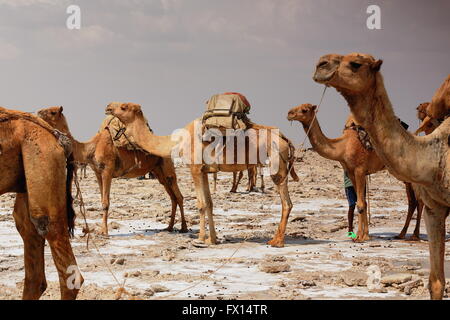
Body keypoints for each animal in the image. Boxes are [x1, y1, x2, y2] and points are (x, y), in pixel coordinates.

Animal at [37, 107, 186, 235]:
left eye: (53, 112)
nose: (38, 112)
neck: (91, 148)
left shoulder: (107, 171)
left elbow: (105, 202)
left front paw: (104, 231)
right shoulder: (98, 173)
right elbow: (102, 200)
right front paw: (101, 230)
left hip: (167, 165)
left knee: (178, 195)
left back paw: (183, 228)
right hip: (158, 170)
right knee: (172, 196)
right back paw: (169, 227)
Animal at [105, 101, 298, 246]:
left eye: (123, 107)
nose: (108, 106)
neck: (177, 141)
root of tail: (284, 138)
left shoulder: (195, 169)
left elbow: (201, 204)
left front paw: (200, 239)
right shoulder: (204, 171)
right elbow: (210, 203)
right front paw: (212, 239)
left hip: (277, 162)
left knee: (286, 202)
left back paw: (277, 241)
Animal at [286, 104, 384, 241]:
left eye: (304, 110)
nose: (289, 114)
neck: (343, 147)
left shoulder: (360, 170)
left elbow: (360, 204)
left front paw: (360, 237)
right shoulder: (351, 172)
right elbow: (362, 202)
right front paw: (364, 235)